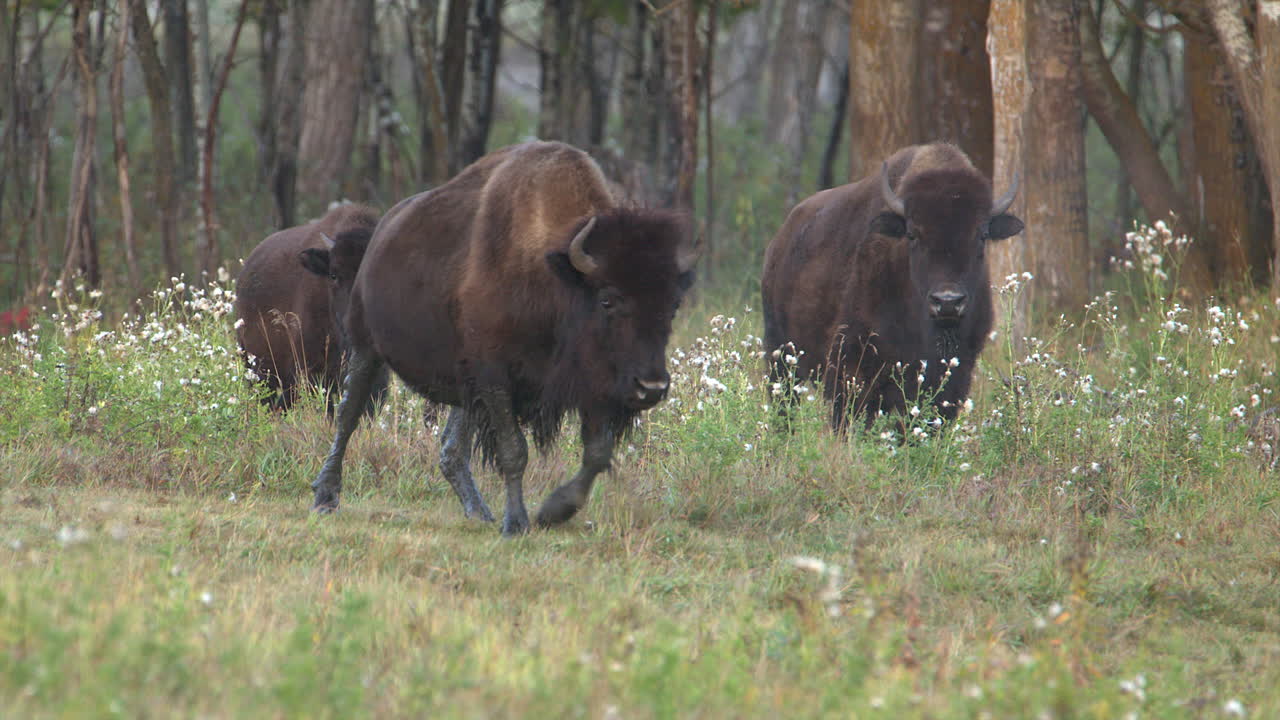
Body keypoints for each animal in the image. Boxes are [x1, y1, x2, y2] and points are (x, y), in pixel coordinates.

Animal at [310, 141, 697, 535]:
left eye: (673, 304)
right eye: (607, 299)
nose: (651, 387)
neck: (555, 277)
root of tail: (381, 235)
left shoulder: (595, 386)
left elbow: (597, 454)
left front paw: (554, 511)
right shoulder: (495, 376)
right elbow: (514, 451)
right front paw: (517, 522)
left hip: (459, 383)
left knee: (451, 449)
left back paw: (478, 511)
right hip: (366, 347)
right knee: (349, 415)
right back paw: (326, 496)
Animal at [761, 142, 1024, 429]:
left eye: (982, 235)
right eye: (912, 234)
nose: (947, 302)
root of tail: (780, 241)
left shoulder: (956, 374)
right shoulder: (851, 368)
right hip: (780, 358)